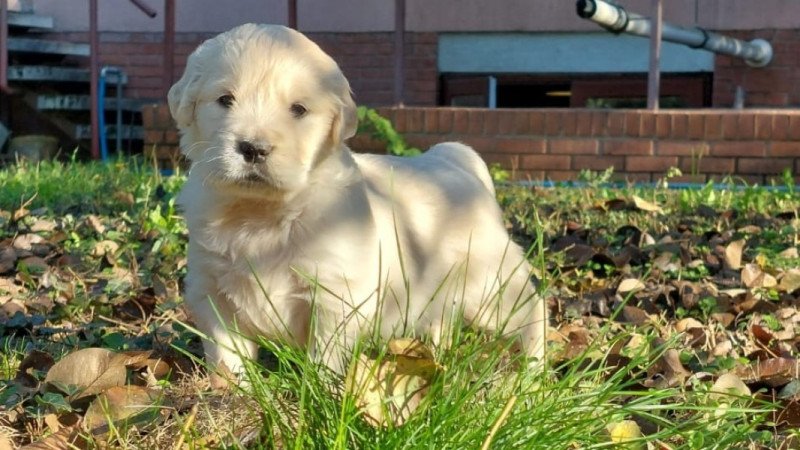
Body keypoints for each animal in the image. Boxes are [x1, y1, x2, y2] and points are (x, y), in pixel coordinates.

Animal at [167, 22, 544, 378]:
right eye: (225, 100)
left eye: (298, 109)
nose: (253, 148)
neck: (261, 212)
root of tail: (454, 158)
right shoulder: (211, 290)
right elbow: (226, 354)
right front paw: (233, 390)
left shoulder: (336, 295)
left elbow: (325, 356)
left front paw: (321, 390)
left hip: (489, 285)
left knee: (533, 311)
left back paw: (532, 374)